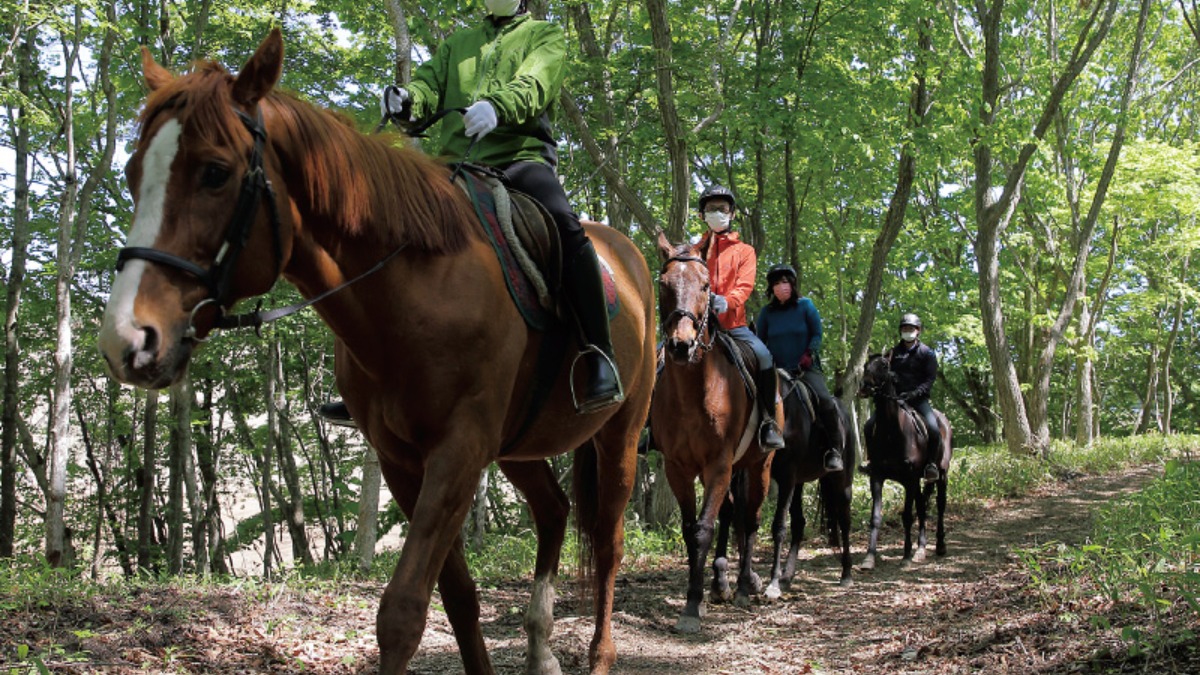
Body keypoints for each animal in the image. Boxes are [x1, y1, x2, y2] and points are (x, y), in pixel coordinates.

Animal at [96, 31, 657, 672]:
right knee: (554, 511)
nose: (126, 338)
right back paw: (541, 647)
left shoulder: (459, 450)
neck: (416, 289)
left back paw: (599, 654)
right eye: (134, 173)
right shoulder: (401, 460)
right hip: (518, 446)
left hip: (619, 436)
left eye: (215, 173)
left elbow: (403, 612)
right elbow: (457, 596)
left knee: (609, 543)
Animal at [648, 230, 777, 629]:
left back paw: (743, 587)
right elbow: (693, 529)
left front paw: (693, 606)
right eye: (663, 285)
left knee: (750, 518)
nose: (680, 345)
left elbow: (705, 528)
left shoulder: (719, 463)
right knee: (732, 512)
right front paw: (698, 596)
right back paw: (721, 582)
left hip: (759, 465)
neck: (695, 390)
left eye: (706, 286)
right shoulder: (679, 467)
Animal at [763, 367, 859, 593]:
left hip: (842, 480)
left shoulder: (787, 476)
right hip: (799, 482)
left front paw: (772, 582)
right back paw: (787, 576)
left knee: (844, 520)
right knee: (799, 523)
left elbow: (779, 525)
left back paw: (846, 573)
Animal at [859, 353, 950, 566]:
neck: (892, 432)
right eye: (866, 365)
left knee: (940, 505)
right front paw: (869, 557)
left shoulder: (910, 479)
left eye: (884, 365)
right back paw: (921, 549)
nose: (865, 386)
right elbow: (875, 517)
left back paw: (939, 545)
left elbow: (908, 516)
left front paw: (906, 556)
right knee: (923, 506)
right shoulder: (877, 476)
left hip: (941, 474)